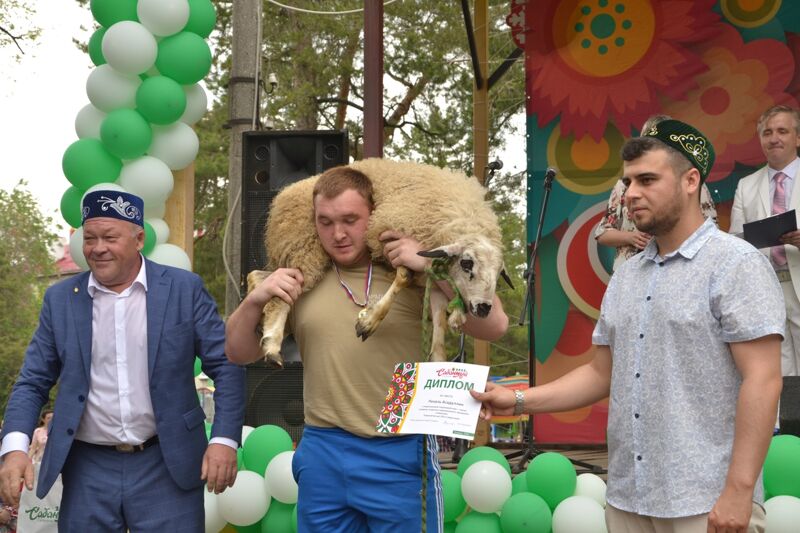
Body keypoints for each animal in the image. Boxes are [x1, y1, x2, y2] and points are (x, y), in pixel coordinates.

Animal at [250, 157, 510, 366]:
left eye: (498, 273)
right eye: (467, 263)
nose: (484, 308)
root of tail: (282, 196)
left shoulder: (433, 276)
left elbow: (438, 320)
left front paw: (437, 362)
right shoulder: (386, 233)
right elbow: (403, 277)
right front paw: (369, 321)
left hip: (291, 256)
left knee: (257, 276)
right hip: (304, 247)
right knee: (280, 297)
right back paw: (271, 344)